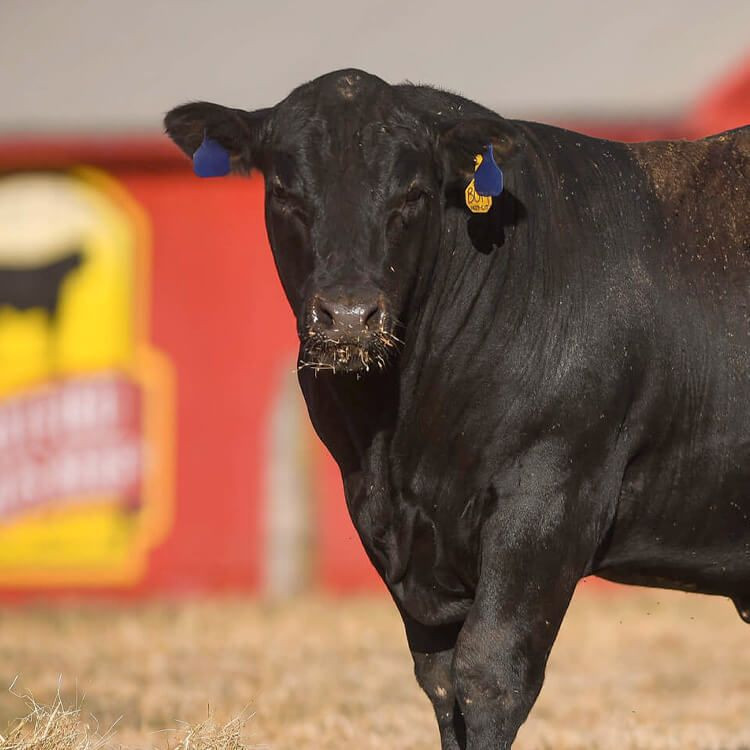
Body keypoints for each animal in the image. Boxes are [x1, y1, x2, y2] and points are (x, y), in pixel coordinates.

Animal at [165, 69, 750, 749]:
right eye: (284, 190)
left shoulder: (550, 499)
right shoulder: (390, 527)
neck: (399, 437)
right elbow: (443, 683)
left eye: (413, 192)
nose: (349, 316)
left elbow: (489, 675)